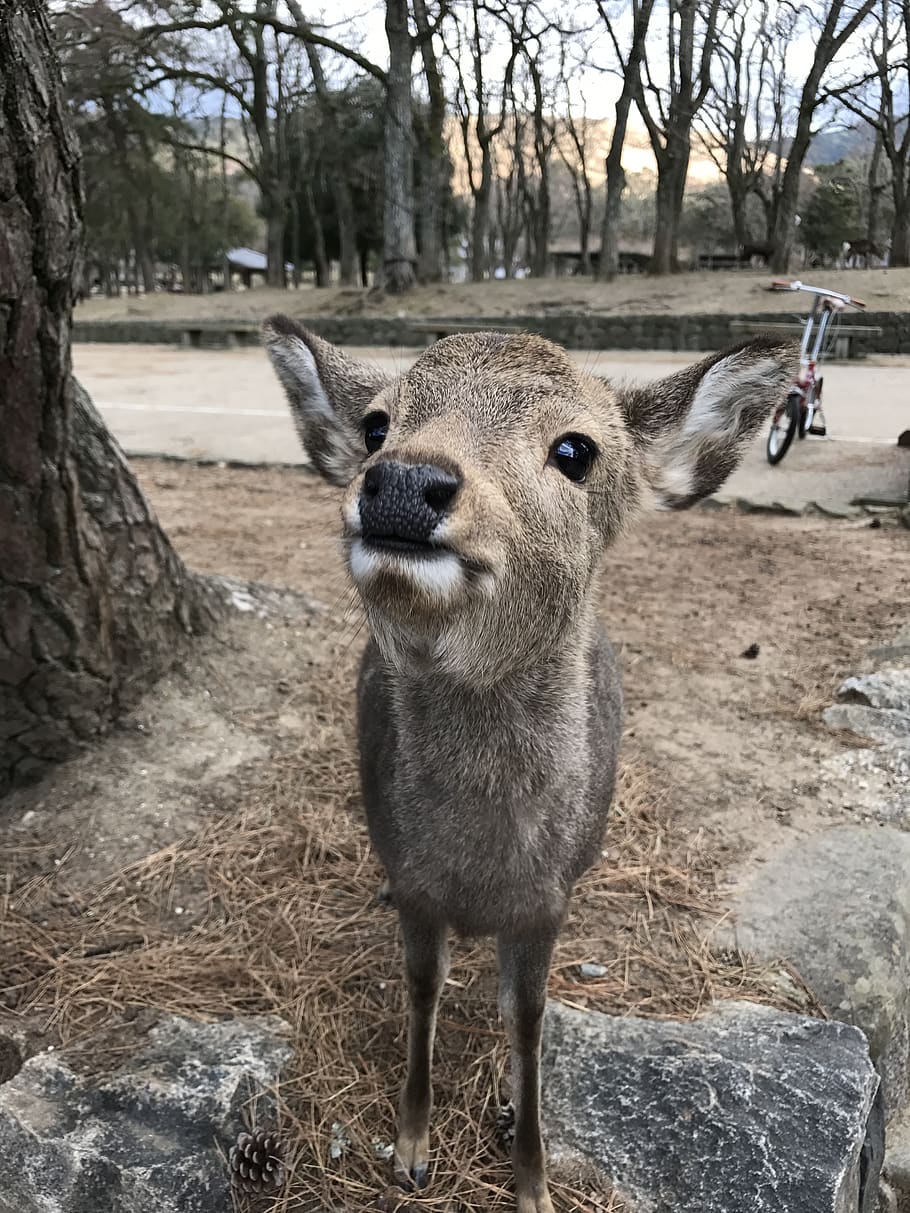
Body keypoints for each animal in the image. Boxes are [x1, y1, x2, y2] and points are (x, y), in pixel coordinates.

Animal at [263, 318, 796, 1213]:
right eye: (376, 424)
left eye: (576, 449)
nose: (401, 480)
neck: (482, 875)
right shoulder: (417, 882)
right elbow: (422, 988)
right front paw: (412, 1148)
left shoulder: (548, 902)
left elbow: (529, 1018)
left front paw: (533, 1180)